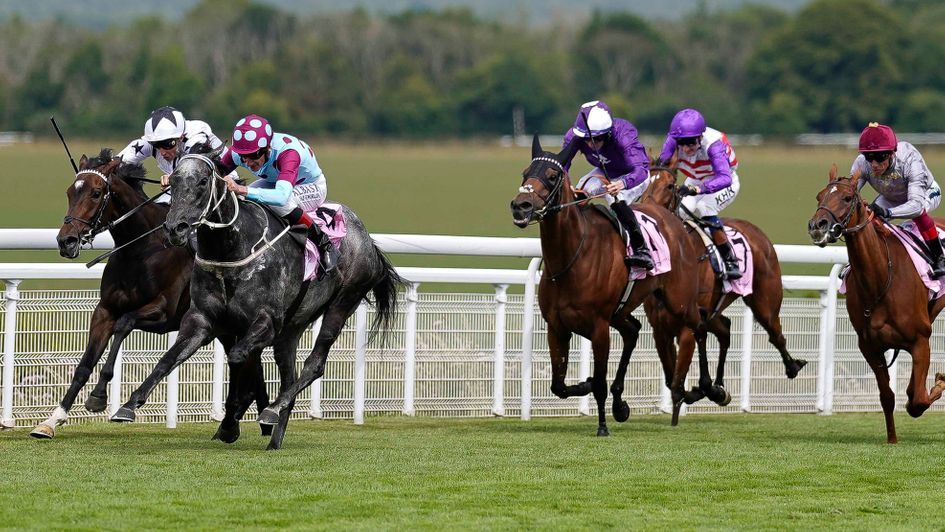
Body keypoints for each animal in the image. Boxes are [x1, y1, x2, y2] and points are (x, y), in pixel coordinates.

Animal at [30, 149, 270, 436]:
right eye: (70, 192)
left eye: (96, 193)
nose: (66, 241)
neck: (140, 249)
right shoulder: (104, 310)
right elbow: (84, 365)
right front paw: (52, 420)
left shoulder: (163, 313)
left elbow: (124, 323)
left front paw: (99, 396)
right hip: (224, 328)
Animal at [110, 145, 402, 448]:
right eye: (173, 181)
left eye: (202, 182)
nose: (175, 228)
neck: (230, 249)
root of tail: (367, 239)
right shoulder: (201, 319)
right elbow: (168, 359)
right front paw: (128, 406)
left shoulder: (265, 322)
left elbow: (238, 358)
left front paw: (232, 422)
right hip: (292, 327)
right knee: (289, 374)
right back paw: (275, 435)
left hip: (342, 302)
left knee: (314, 364)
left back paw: (272, 409)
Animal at [508, 135, 700, 434]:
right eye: (525, 173)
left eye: (552, 176)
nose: (521, 206)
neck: (573, 257)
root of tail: (671, 218)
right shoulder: (556, 326)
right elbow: (559, 385)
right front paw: (591, 388)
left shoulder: (598, 327)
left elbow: (599, 382)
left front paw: (602, 426)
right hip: (622, 311)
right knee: (633, 330)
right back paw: (622, 403)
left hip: (678, 300)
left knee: (696, 329)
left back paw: (696, 390)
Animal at [640, 160, 812, 406]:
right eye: (645, 182)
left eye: (670, 186)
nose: (646, 210)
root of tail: (758, 233)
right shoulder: (660, 326)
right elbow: (672, 377)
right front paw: (707, 388)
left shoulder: (691, 319)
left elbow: (690, 358)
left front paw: (705, 387)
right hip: (716, 310)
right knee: (725, 329)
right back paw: (719, 385)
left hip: (765, 302)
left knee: (775, 333)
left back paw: (792, 366)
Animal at [804, 165, 944, 440]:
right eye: (819, 196)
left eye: (847, 198)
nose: (817, 225)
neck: (880, 280)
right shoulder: (870, 347)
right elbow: (889, 397)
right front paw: (892, 439)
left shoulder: (920, 340)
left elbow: (918, 400)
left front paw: (940, 382)